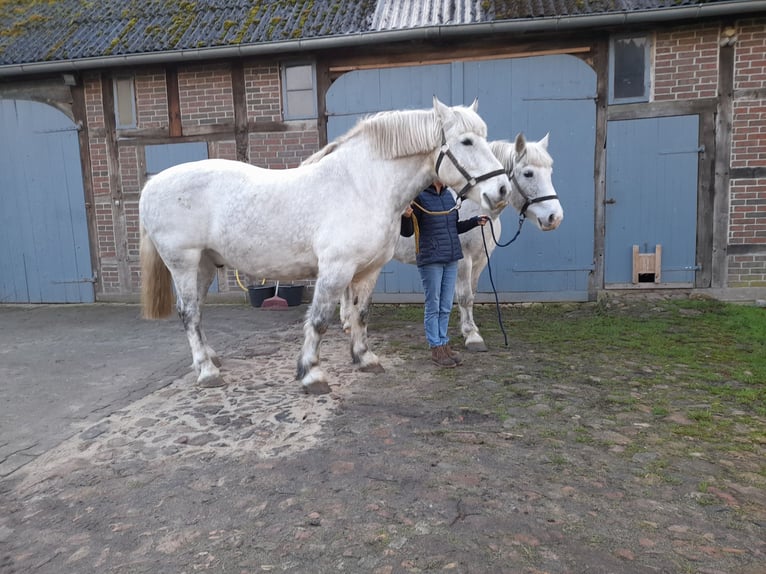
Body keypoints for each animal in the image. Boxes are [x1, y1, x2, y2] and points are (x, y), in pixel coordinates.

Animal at [140, 98, 510, 396]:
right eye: (466, 141)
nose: (502, 190)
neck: (362, 185)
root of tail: (151, 185)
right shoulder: (335, 270)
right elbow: (319, 321)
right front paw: (311, 374)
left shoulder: (367, 271)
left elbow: (360, 314)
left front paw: (364, 358)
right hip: (184, 263)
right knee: (189, 313)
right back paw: (207, 372)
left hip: (204, 265)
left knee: (197, 313)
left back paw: (209, 359)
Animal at [342, 133, 564, 354]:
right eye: (528, 173)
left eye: (550, 172)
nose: (555, 217)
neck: (471, 204)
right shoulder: (463, 260)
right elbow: (464, 296)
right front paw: (472, 336)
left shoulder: (480, 261)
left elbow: (472, 294)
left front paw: (470, 328)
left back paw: (346, 323)